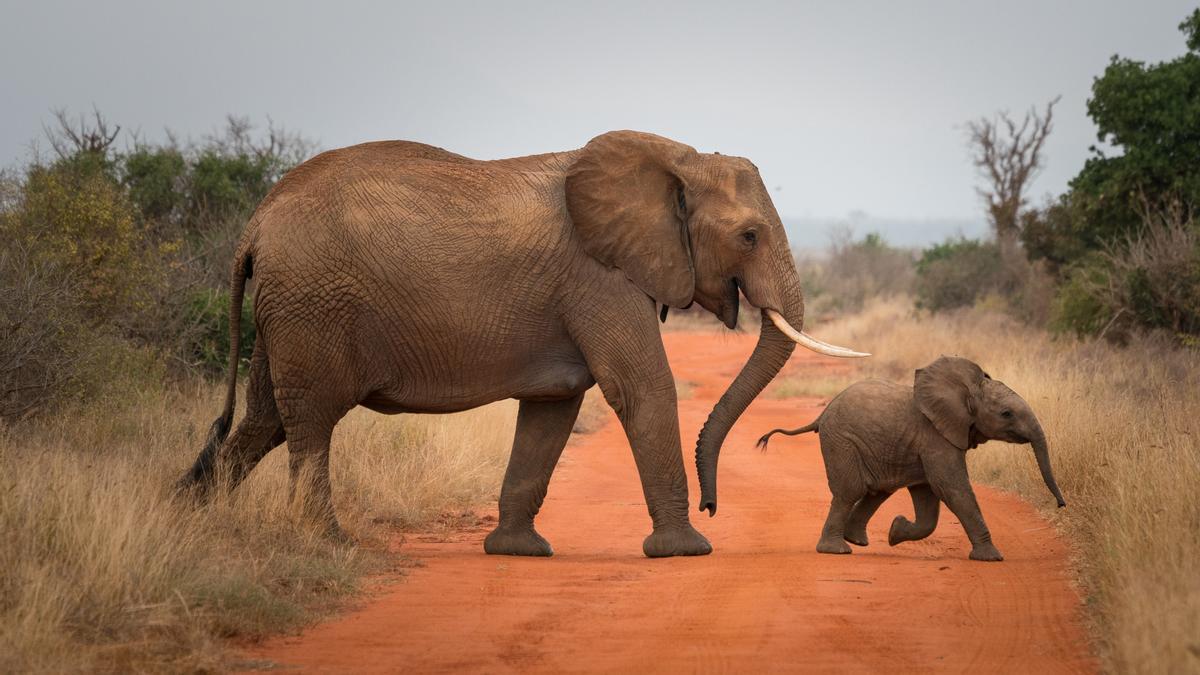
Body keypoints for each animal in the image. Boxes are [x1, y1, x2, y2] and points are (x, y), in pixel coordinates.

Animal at [177, 128, 868, 554]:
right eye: (749, 236)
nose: (714, 506)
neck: (675, 156)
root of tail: (255, 225)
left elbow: (554, 407)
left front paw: (518, 551)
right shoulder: (599, 277)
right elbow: (640, 388)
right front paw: (686, 552)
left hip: (286, 309)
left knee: (265, 418)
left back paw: (194, 519)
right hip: (311, 305)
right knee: (311, 422)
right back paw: (327, 542)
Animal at [763, 355, 1065, 559]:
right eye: (1006, 414)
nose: (1061, 505)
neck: (964, 391)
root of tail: (822, 413)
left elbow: (929, 499)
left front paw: (896, 531)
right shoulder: (935, 436)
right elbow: (951, 487)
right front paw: (992, 558)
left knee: (875, 491)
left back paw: (857, 541)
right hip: (842, 441)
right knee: (850, 491)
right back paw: (837, 550)